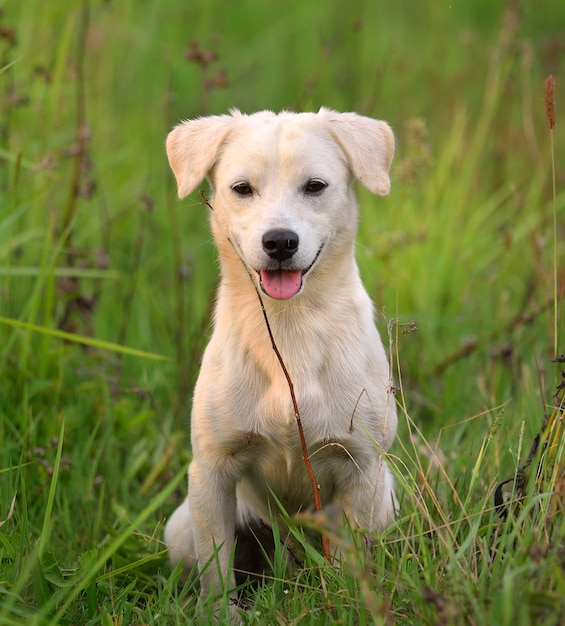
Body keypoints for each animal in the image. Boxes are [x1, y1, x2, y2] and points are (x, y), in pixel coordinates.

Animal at [163, 107, 396, 600]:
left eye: (315, 186)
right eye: (241, 188)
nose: (280, 241)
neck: (291, 332)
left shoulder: (363, 470)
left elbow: (354, 566)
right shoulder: (210, 473)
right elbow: (216, 574)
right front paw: (220, 612)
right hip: (182, 529)